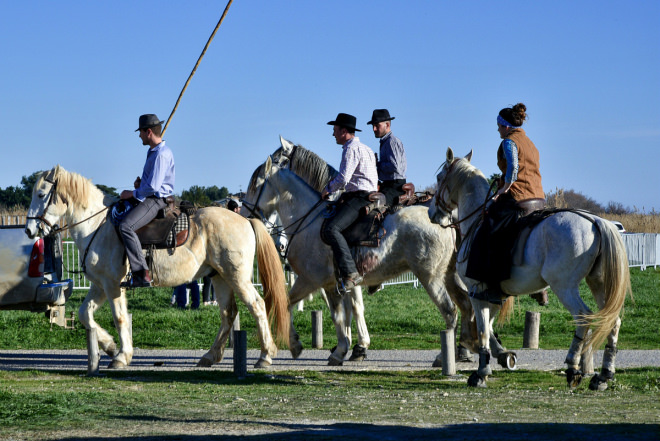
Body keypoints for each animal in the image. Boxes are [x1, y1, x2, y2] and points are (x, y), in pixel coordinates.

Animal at [25, 165, 288, 368]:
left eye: (41, 194)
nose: (29, 230)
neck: (97, 225)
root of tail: (245, 219)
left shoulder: (113, 285)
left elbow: (120, 317)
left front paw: (122, 356)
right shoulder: (100, 286)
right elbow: (84, 314)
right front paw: (109, 346)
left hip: (237, 278)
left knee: (257, 305)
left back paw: (265, 355)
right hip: (219, 277)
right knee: (228, 313)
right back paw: (210, 356)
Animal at [242, 138, 480, 364]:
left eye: (255, 186)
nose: (245, 214)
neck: (311, 220)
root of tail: (445, 218)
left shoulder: (311, 279)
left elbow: (291, 303)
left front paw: (295, 345)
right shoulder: (335, 283)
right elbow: (342, 313)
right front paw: (344, 348)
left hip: (431, 278)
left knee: (450, 311)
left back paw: (446, 356)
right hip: (448, 274)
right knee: (466, 305)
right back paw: (465, 348)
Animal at [428, 149, 628, 388]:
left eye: (439, 178)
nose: (431, 213)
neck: (477, 221)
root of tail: (595, 221)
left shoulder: (477, 292)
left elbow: (483, 328)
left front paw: (481, 371)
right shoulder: (494, 294)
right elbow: (490, 326)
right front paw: (500, 355)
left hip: (564, 287)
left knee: (583, 316)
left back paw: (573, 366)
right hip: (597, 283)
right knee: (612, 321)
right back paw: (604, 375)